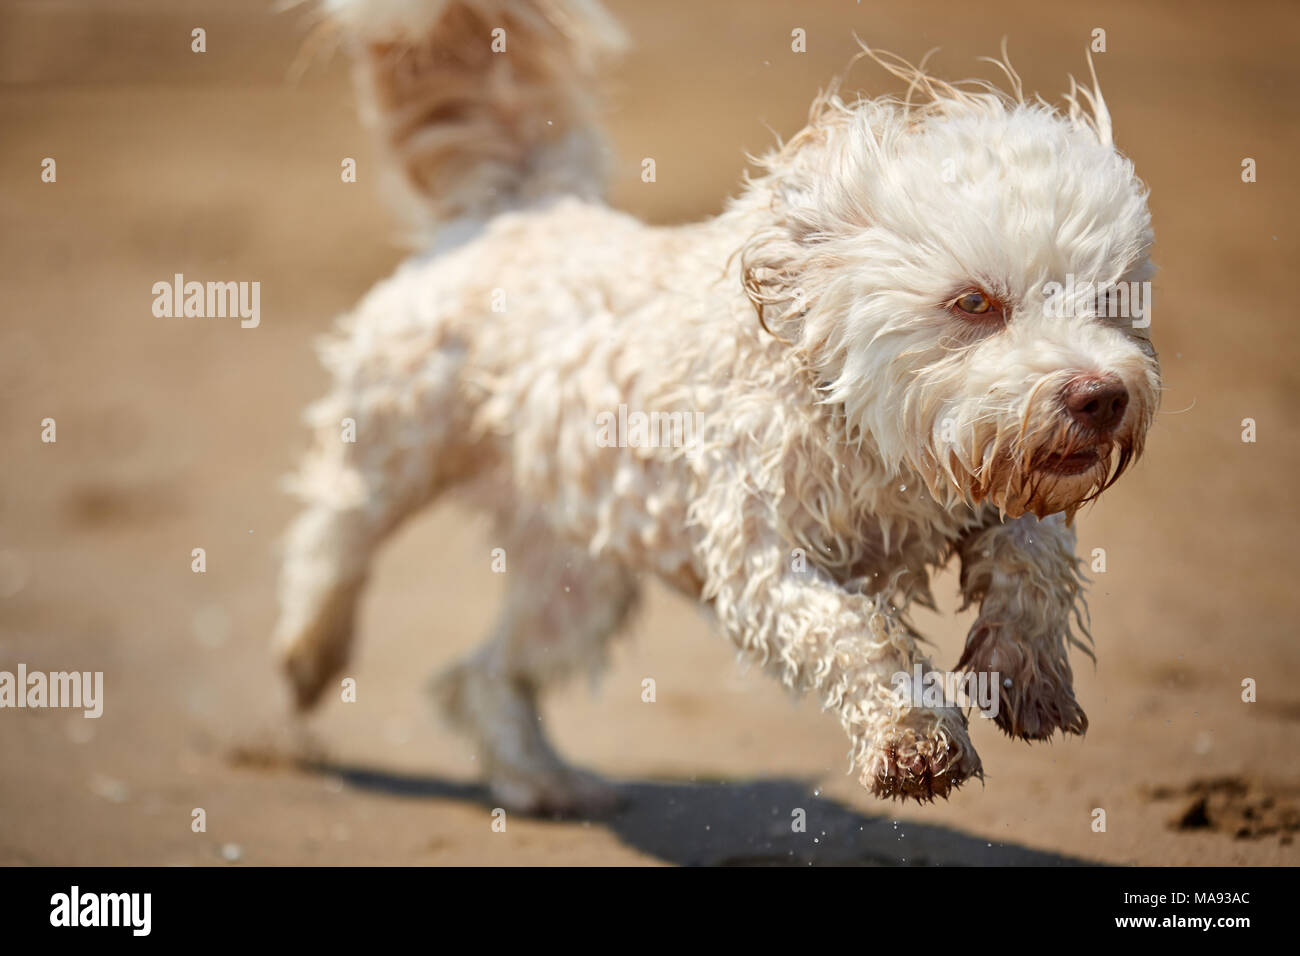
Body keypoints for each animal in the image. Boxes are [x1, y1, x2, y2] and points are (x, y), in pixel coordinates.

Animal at [271, 0, 1159, 816]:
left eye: (1111, 298)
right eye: (974, 302)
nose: (1101, 396)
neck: (868, 434)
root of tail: (520, 206)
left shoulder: (994, 483)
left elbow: (1036, 555)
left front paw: (1025, 670)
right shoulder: (760, 557)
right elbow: (851, 633)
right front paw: (911, 737)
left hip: (576, 574)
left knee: (483, 676)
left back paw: (543, 780)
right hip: (394, 437)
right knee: (332, 532)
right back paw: (311, 652)